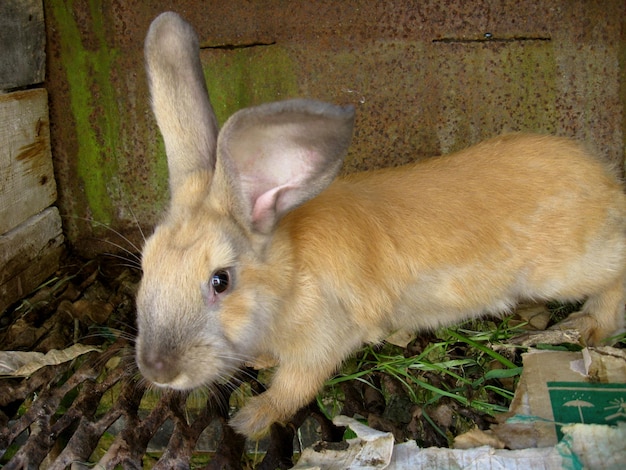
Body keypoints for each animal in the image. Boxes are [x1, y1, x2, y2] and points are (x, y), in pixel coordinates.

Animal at [136, 11, 624, 440]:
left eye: (221, 281)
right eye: (145, 264)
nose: (157, 370)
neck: (287, 276)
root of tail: (608, 185)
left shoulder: (323, 342)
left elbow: (295, 386)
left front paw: (250, 419)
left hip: (564, 270)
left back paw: (581, 325)